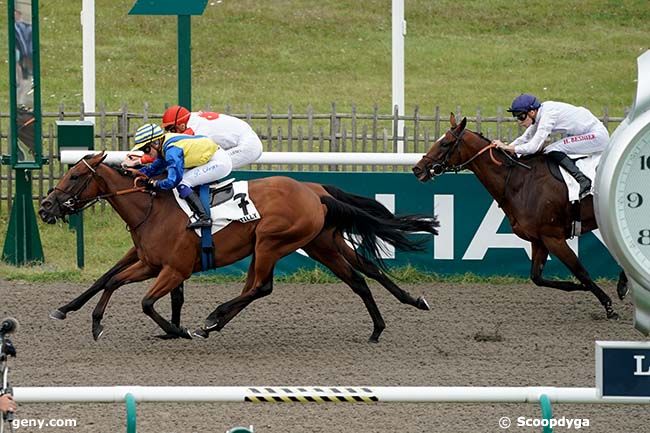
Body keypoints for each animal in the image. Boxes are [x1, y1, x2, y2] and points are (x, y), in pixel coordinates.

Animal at [39, 152, 436, 340]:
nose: (45, 206)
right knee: (360, 275)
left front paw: (177, 330)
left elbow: (147, 302)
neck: (153, 209)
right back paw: (389, 319)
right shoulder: (149, 263)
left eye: (75, 176)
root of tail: (315, 192)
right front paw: (90, 320)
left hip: (271, 241)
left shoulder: (173, 269)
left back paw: (212, 318)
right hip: (320, 242)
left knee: (262, 286)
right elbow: (109, 280)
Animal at [412, 113, 624, 318]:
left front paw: (608, 306)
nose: (417, 169)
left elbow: (581, 272)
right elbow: (537, 277)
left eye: (445, 143)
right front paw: (577, 286)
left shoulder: (553, 237)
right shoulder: (539, 239)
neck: (521, 181)